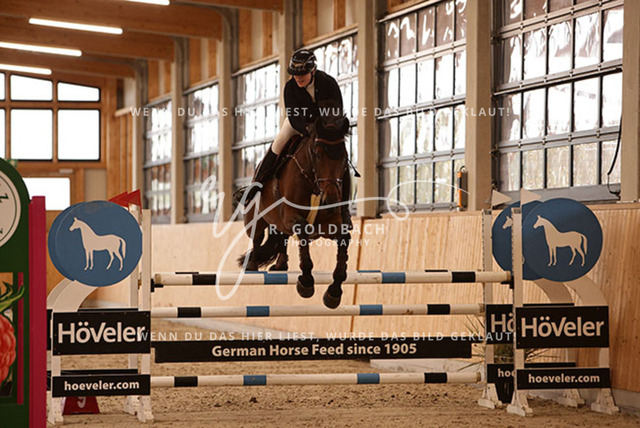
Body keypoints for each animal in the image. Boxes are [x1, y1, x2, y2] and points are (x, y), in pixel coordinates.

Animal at [237, 101, 351, 309]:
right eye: (317, 155)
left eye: (344, 157)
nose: (330, 200)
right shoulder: (291, 216)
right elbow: (303, 232)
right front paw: (306, 283)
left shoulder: (332, 224)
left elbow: (343, 243)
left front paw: (334, 292)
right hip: (254, 219)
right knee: (257, 237)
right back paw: (252, 264)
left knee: (281, 237)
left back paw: (281, 265)